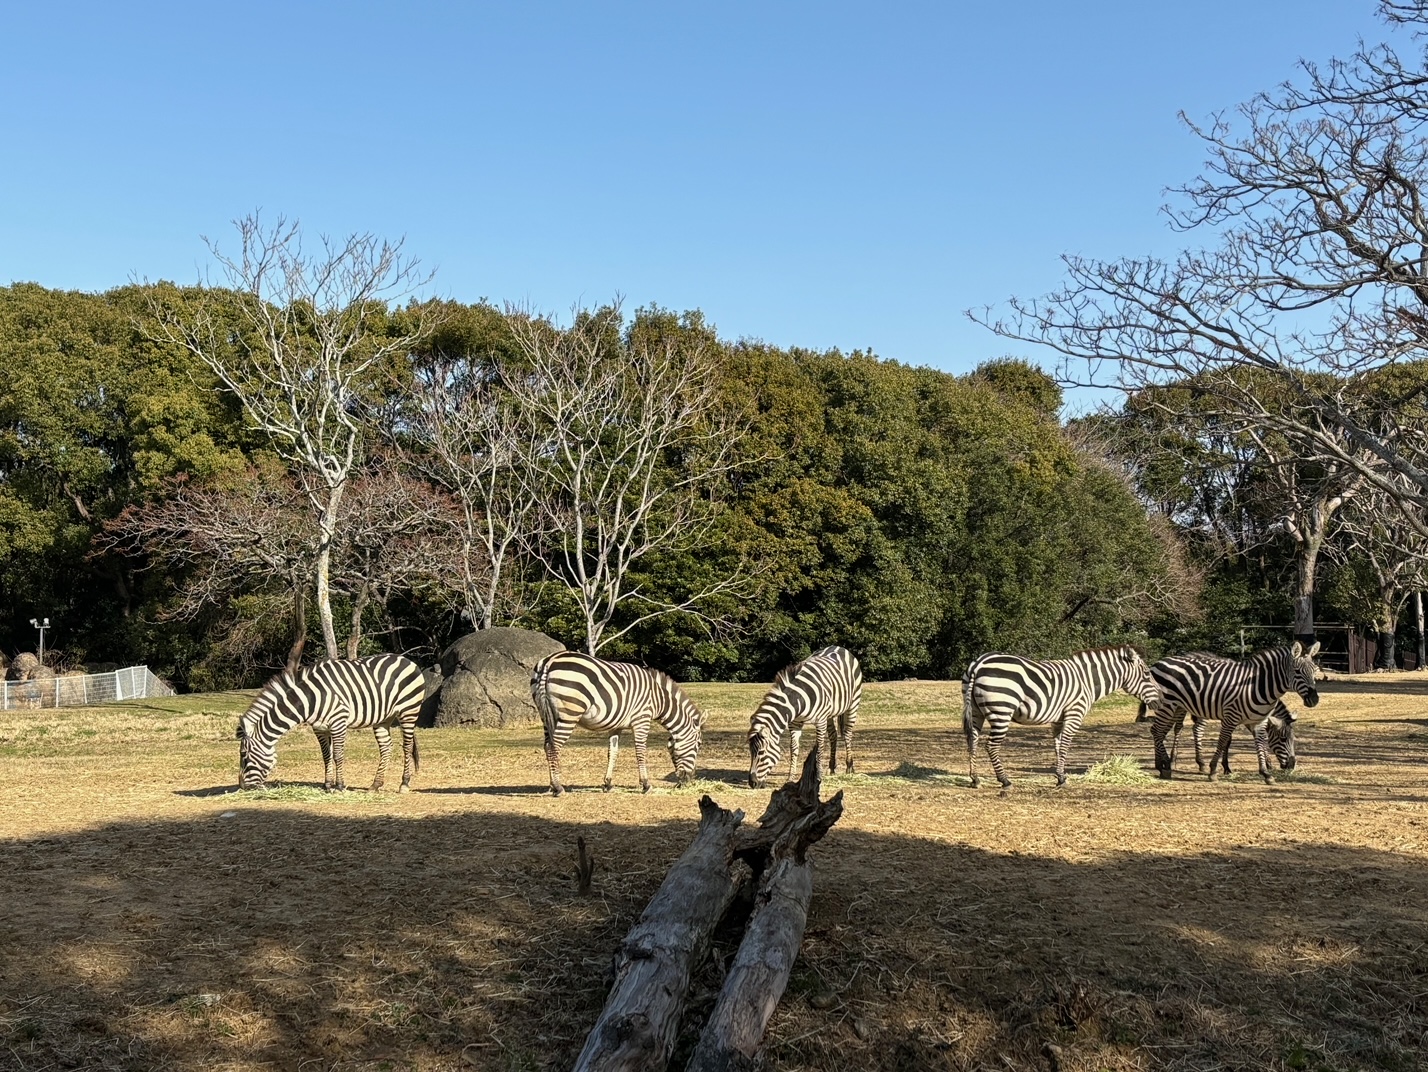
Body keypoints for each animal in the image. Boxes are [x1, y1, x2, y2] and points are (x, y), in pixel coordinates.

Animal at [237, 650, 425, 793]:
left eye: (244, 756)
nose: (242, 787)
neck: (310, 699)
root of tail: (405, 659)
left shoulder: (338, 722)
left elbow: (338, 755)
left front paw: (340, 785)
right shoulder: (319, 728)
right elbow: (326, 755)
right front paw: (328, 785)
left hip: (409, 711)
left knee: (407, 746)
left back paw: (404, 784)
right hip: (383, 718)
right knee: (386, 747)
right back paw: (375, 785)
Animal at [528, 645, 705, 799]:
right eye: (698, 745)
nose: (689, 780)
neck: (658, 699)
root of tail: (549, 661)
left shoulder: (616, 726)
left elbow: (612, 752)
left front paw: (607, 784)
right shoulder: (642, 719)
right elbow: (640, 752)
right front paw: (646, 784)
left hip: (545, 715)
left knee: (547, 746)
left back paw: (552, 785)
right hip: (570, 713)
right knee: (554, 746)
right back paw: (558, 788)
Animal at [748, 645, 856, 787]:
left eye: (761, 752)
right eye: (750, 752)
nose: (752, 783)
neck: (799, 699)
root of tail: (838, 647)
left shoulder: (820, 721)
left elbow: (819, 748)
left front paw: (818, 776)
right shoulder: (795, 723)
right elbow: (794, 749)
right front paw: (790, 777)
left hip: (853, 704)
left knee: (848, 733)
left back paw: (849, 767)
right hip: (830, 713)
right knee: (833, 735)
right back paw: (831, 768)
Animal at [959, 645, 1159, 787]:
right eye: (1147, 674)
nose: (1160, 699)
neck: (1087, 681)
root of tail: (979, 663)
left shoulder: (1058, 719)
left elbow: (1057, 746)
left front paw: (1059, 776)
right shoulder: (1074, 713)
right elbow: (1064, 746)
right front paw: (1062, 778)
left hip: (976, 711)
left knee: (972, 741)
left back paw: (975, 779)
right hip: (1002, 710)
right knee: (991, 745)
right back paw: (1004, 780)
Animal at [1142, 642, 1319, 782]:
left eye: (1314, 671)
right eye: (1297, 671)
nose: (1314, 699)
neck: (1257, 685)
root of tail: (1160, 661)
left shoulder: (1257, 720)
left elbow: (1259, 741)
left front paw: (1265, 772)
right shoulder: (1231, 716)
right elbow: (1224, 741)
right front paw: (1215, 770)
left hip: (1179, 706)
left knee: (1164, 731)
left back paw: (1163, 763)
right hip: (1169, 705)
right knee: (1160, 730)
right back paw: (1168, 765)